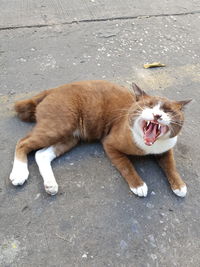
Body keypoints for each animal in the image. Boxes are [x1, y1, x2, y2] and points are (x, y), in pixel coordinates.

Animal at [9, 80, 191, 198]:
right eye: (148, 106)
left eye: (168, 111)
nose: (157, 115)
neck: (150, 147)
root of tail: (51, 90)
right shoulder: (110, 144)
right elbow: (126, 165)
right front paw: (138, 185)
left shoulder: (166, 150)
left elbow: (171, 166)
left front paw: (179, 185)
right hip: (60, 125)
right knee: (22, 142)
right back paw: (19, 174)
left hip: (70, 137)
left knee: (41, 154)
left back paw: (50, 185)